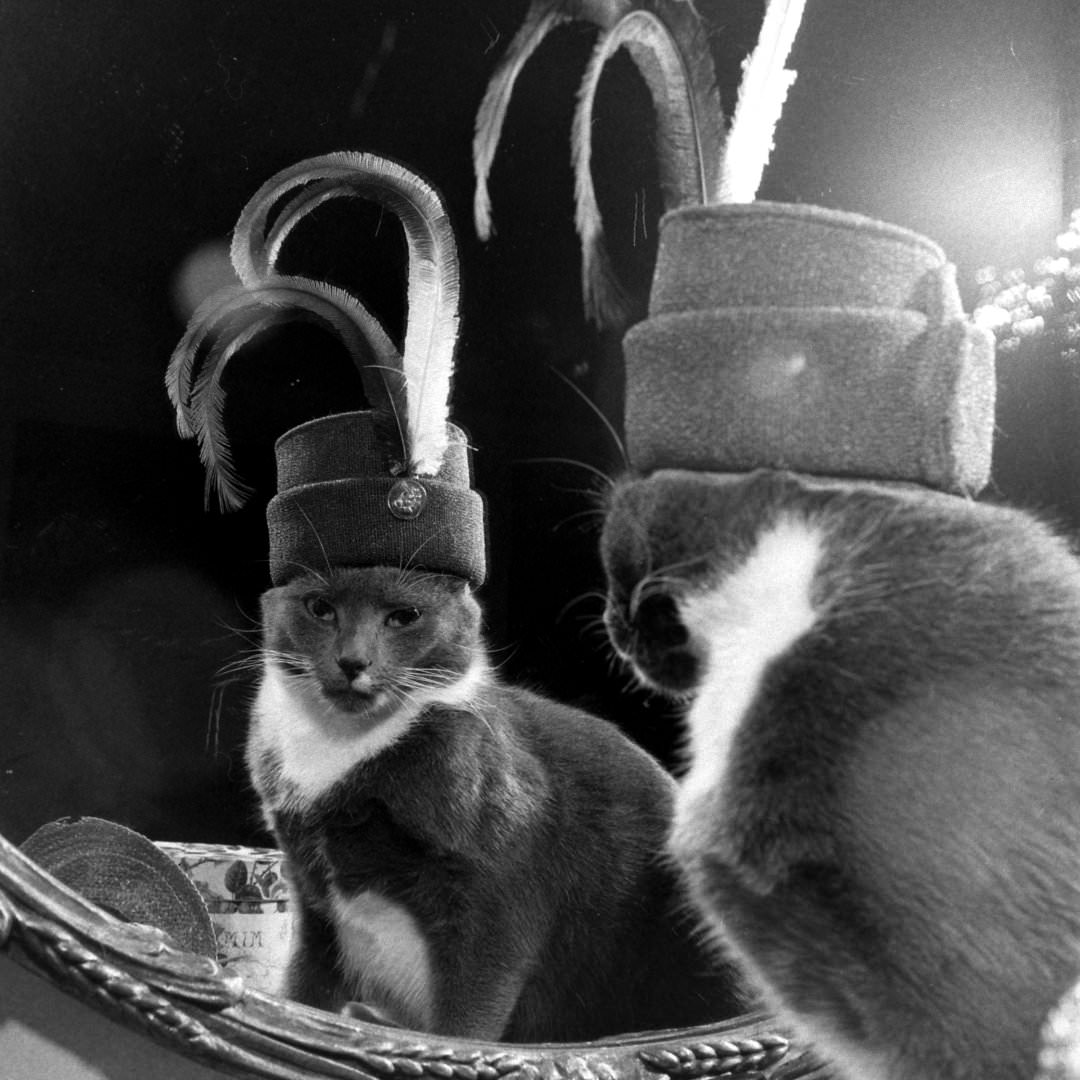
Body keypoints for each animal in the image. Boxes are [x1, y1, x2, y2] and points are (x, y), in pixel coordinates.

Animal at [245, 561, 751, 1041]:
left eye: (404, 616)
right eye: (320, 608)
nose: (352, 660)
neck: (339, 753)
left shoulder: (495, 894)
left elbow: (467, 1018)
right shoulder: (312, 898)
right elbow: (305, 990)